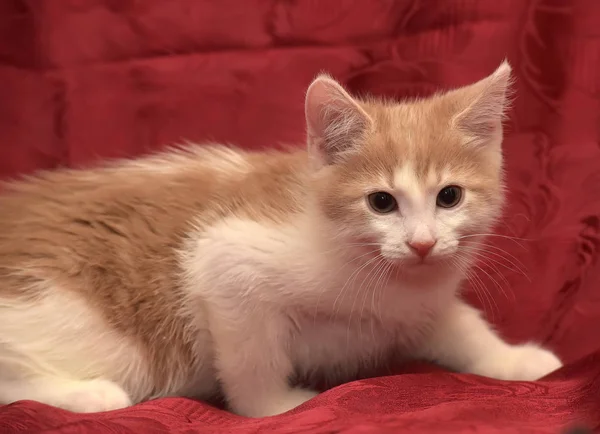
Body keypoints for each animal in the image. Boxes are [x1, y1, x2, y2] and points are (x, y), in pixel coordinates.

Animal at [0, 61, 564, 418]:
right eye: (381, 202)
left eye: (449, 196)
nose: (422, 244)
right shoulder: (226, 265)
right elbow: (252, 359)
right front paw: (278, 407)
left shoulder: (416, 307)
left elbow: (461, 326)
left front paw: (515, 360)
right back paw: (91, 397)